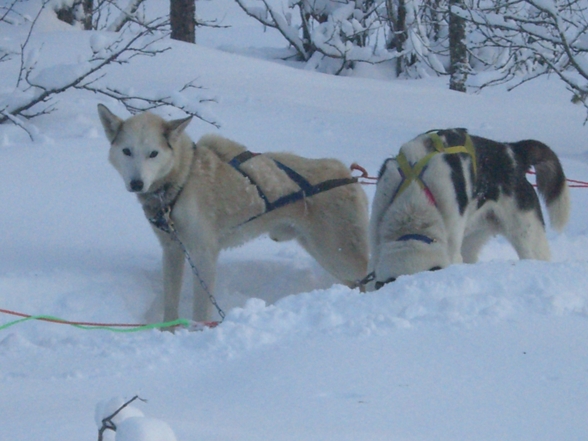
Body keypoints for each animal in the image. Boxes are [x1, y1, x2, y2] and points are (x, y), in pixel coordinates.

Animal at [99, 105, 370, 322]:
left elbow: (201, 309)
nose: (136, 183)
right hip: (326, 254)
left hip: (339, 254)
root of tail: (347, 174)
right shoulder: (173, 249)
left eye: (153, 153)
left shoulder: (203, 253)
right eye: (127, 151)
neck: (182, 180)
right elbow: (170, 303)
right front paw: (169, 330)